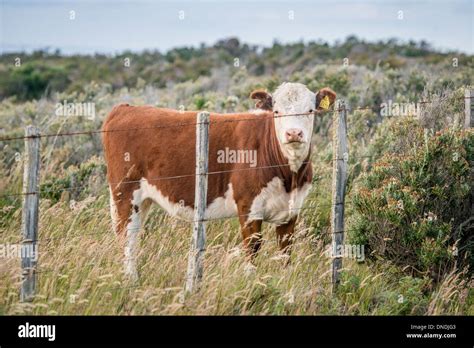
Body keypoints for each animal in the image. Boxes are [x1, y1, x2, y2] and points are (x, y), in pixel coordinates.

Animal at [101, 82, 336, 280]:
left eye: (310, 110)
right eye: (276, 112)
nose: (293, 133)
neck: (289, 176)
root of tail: (126, 108)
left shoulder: (291, 211)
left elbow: (286, 253)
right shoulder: (248, 207)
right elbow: (252, 250)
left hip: (142, 200)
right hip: (125, 194)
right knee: (127, 239)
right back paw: (130, 281)